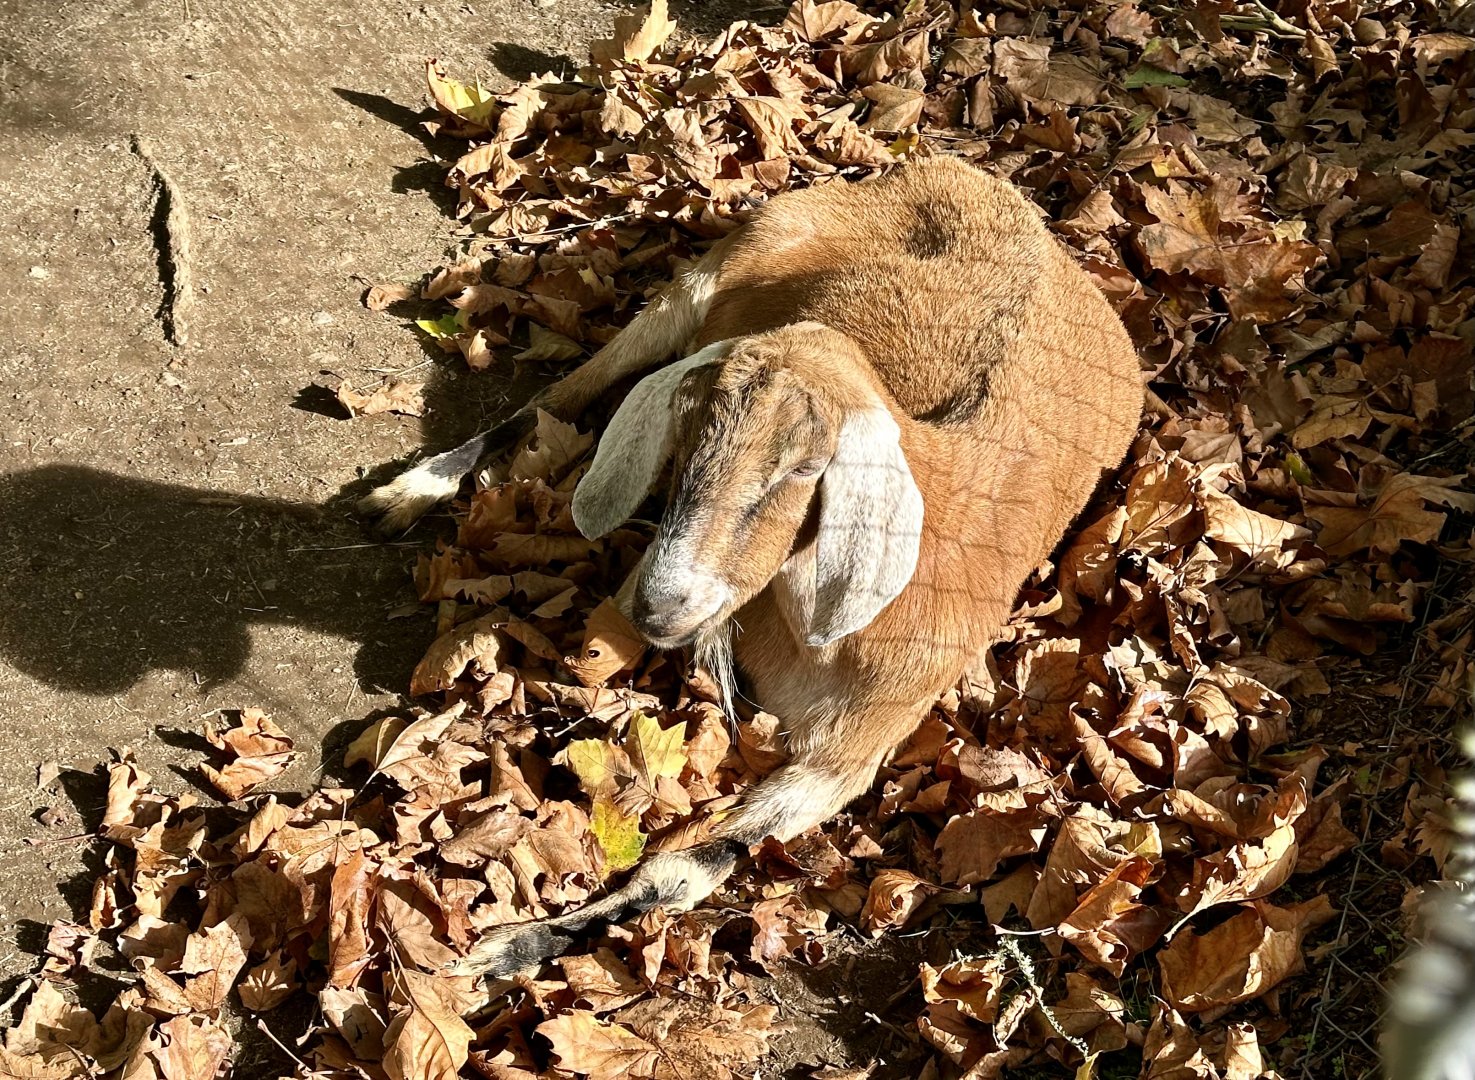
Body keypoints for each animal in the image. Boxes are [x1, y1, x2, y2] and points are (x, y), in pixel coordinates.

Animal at [361, 157, 1145, 978]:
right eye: (685, 434)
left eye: (804, 468)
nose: (660, 605)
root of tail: (987, 185)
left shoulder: (853, 751)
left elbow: (690, 869)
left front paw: (509, 949)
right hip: (730, 261)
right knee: (566, 390)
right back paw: (414, 489)